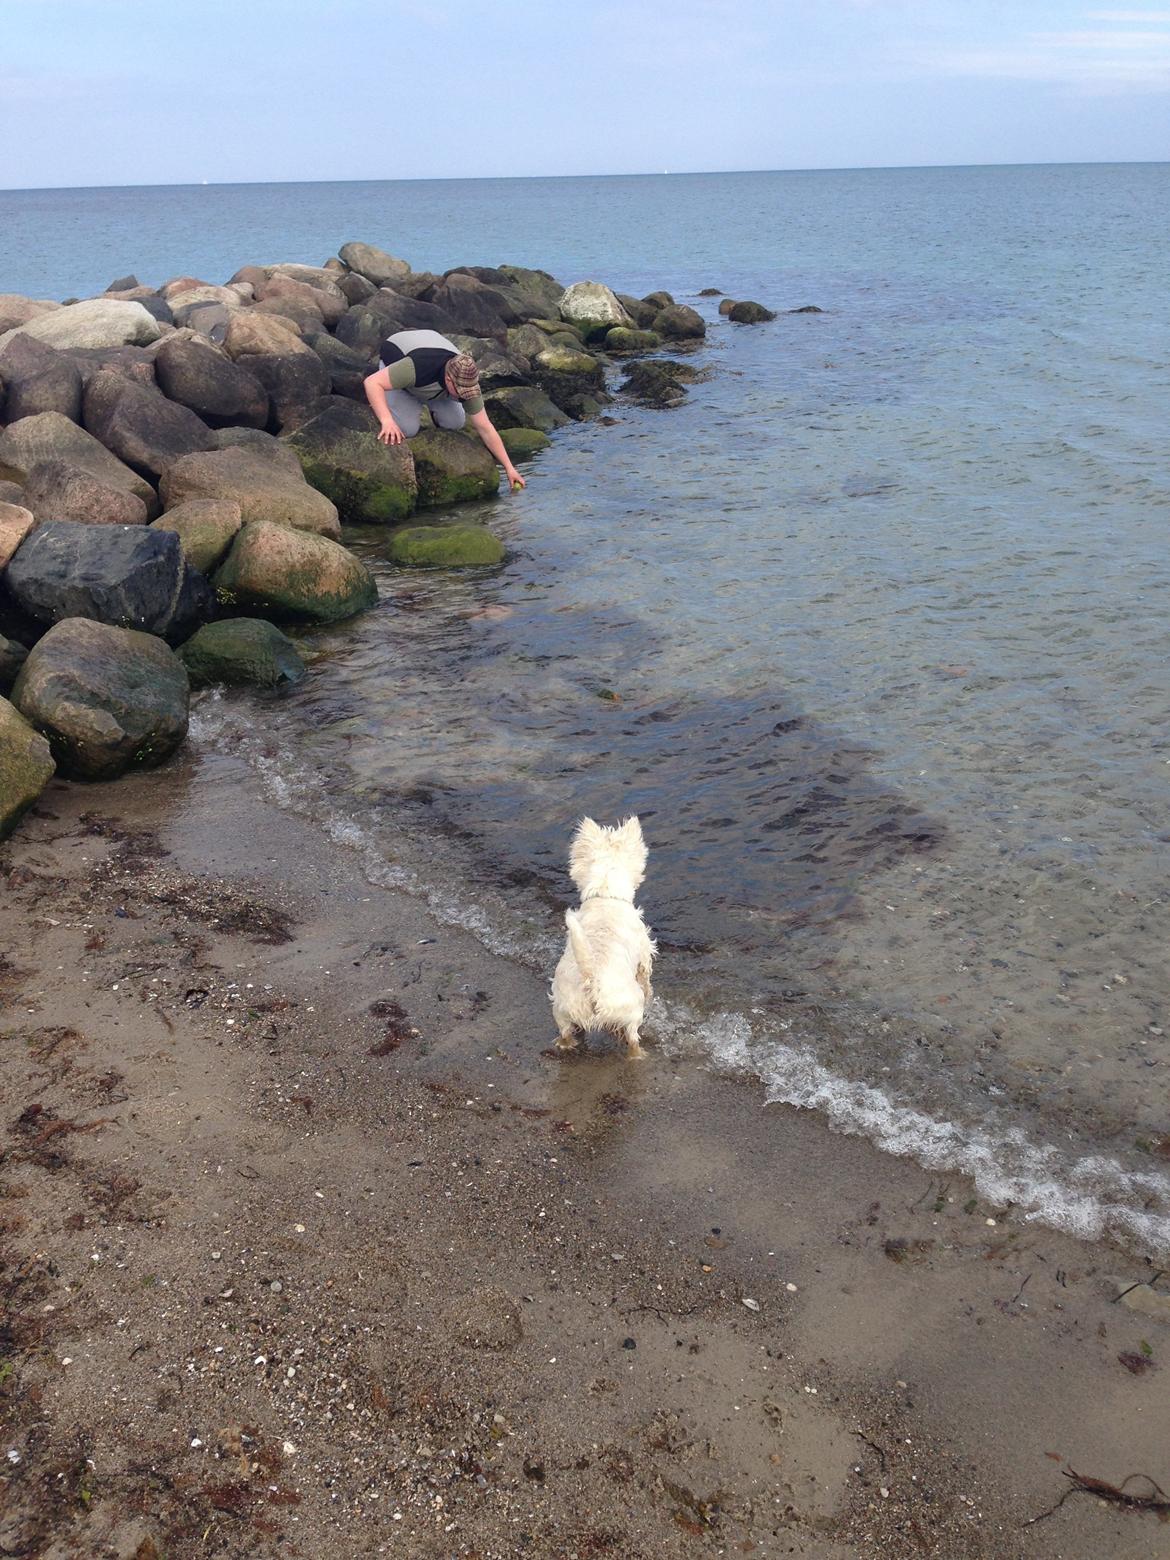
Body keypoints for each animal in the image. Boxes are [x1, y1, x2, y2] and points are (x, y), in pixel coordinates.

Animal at [552, 817, 661, 1060]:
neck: (606, 894)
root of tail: (591, 981)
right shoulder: (644, 953)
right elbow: (646, 979)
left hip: (561, 1008)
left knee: (565, 1032)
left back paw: (567, 1044)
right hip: (632, 1008)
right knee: (632, 1037)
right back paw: (639, 1054)